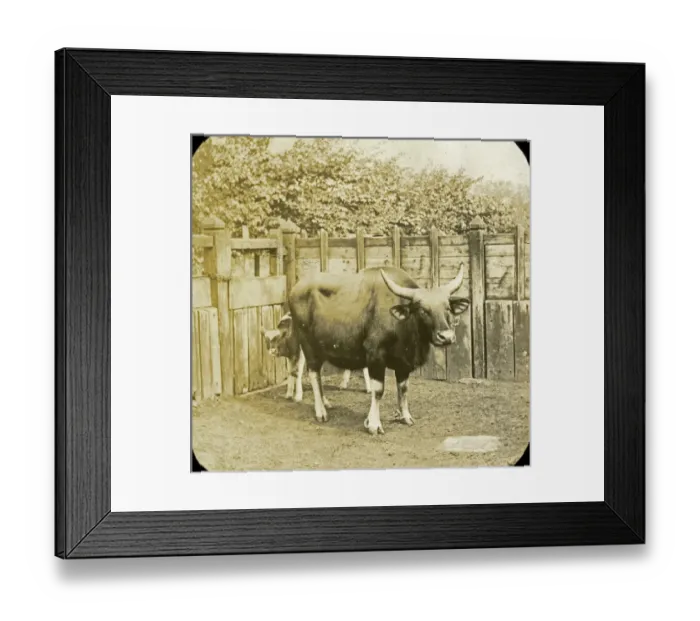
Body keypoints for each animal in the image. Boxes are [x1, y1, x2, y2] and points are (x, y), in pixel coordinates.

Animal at [287, 264, 469, 435]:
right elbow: (378, 390)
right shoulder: (375, 356)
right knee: (313, 373)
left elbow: (403, 388)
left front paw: (405, 416)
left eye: (447, 308)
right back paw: (320, 411)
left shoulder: (403, 363)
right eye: (423, 310)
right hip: (308, 344)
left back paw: (326, 402)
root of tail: (294, 289)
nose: (446, 337)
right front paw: (374, 424)